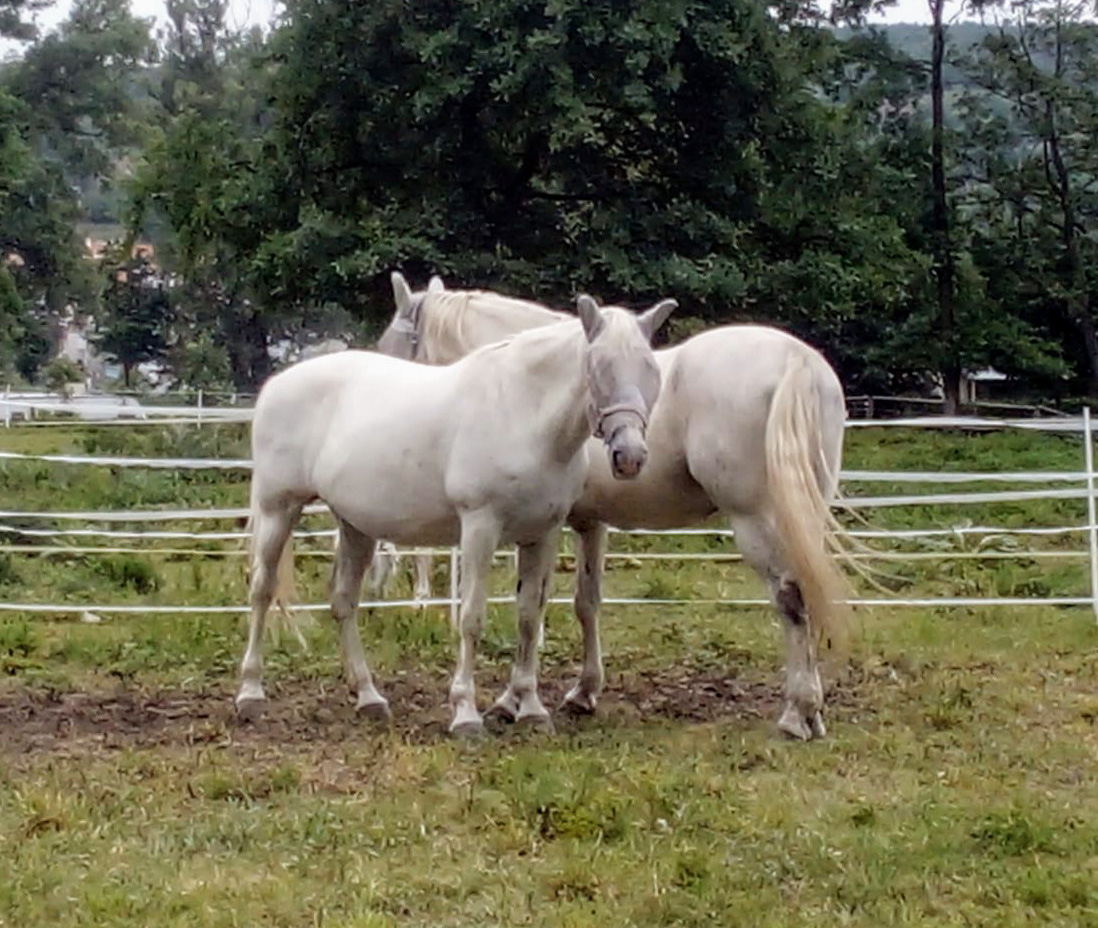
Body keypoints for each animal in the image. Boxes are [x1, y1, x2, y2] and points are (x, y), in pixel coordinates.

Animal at [236, 294, 671, 733]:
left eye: (651, 367)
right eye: (598, 365)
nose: (630, 456)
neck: (521, 411)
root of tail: (275, 386)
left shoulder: (541, 534)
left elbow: (530, 617)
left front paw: (531, 709)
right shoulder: (480, 527)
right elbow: (472, 617)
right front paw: (465, 713)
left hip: (356, 526)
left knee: (343, 601)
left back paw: (369, 697)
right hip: (278, 509)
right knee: (262, 590)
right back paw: (250, 693)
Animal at [375, 273, 847, 738]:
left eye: (391, 344)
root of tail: (797, 360)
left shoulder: (544, 525)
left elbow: (535, 606)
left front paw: (514, 700)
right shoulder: (589, 522)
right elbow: (586, 603)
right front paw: (581, 693)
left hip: (755, 520)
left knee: (790, 596)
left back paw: (796, 713)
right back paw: (814, 713)